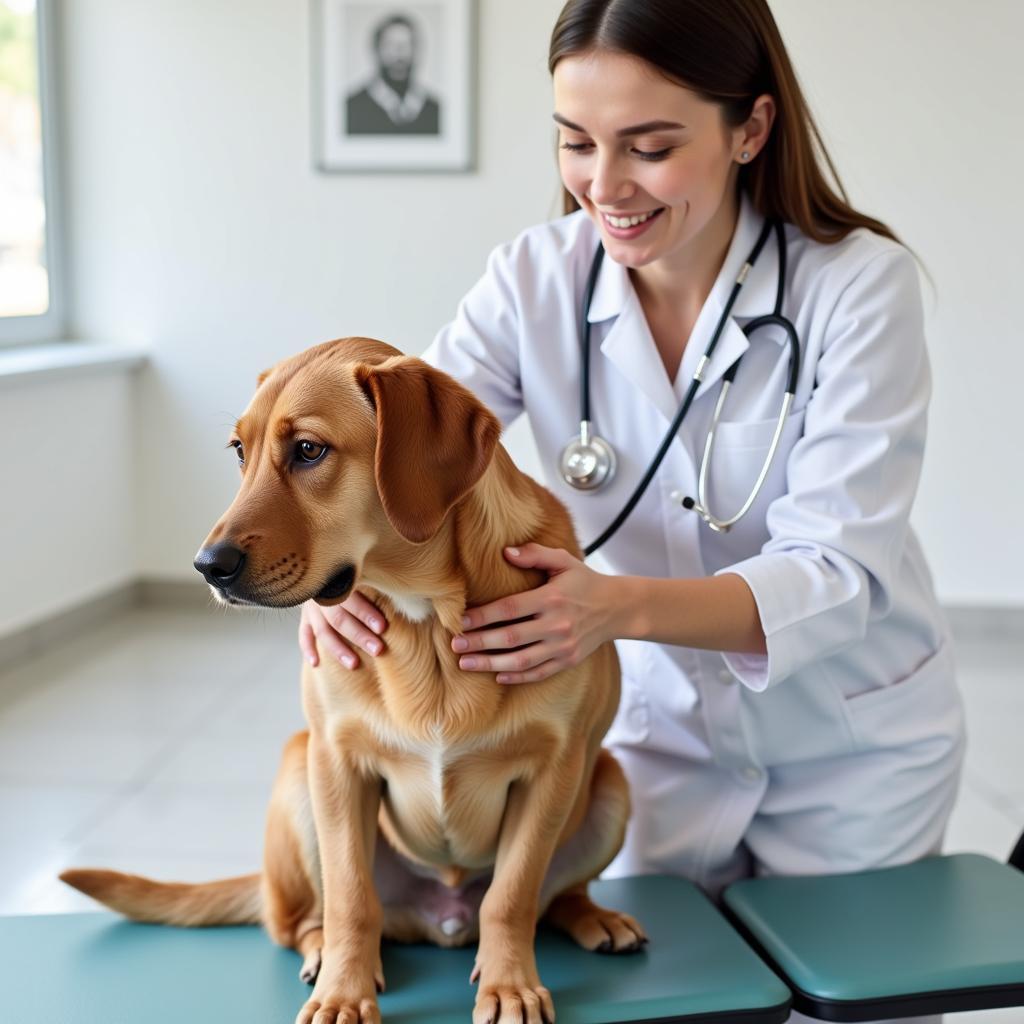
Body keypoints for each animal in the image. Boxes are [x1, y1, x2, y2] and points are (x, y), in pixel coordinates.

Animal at [59, 337, 643, 1024]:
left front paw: (510, 986)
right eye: (239, 451)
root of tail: (443, 918)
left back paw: (596, 917)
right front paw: (344, 991)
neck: (428, 621)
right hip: (298, 770)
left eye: (309, 450)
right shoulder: (337, 765)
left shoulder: (554, 770)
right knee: (297, 920)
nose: (207, 566)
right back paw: (319, 953)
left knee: (553, 898)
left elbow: (513, 896)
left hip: (610, 783)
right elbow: (350, 900)